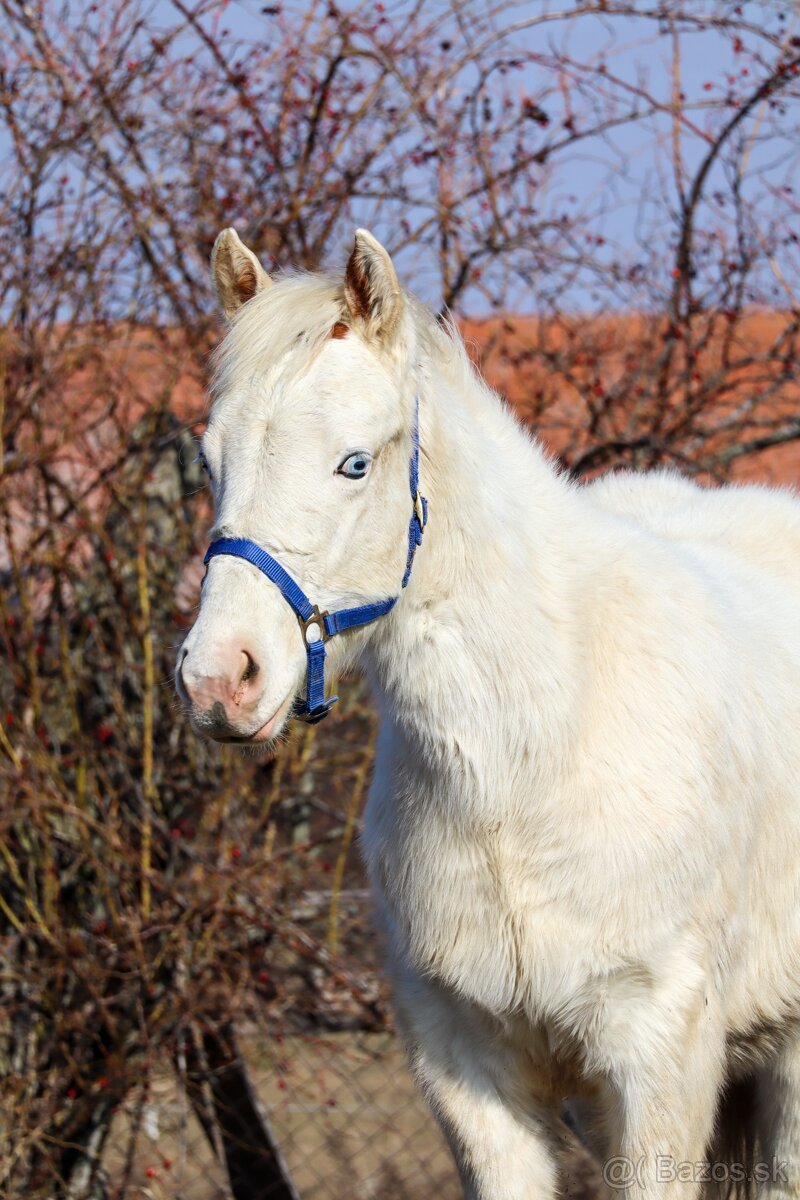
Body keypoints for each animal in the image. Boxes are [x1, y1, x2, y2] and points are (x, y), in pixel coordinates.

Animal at [176, 226, 800, 1200]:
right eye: (211, 460)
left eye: (355, 462)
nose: (219, 680)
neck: (529, 768)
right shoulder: (471, 1072)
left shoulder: (658, 1063)